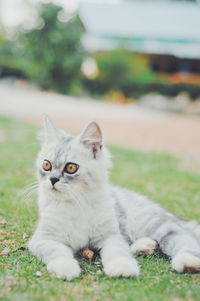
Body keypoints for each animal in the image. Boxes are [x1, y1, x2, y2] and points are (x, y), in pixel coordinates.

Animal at [27, 116, 200, 278]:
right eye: (46, 165)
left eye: (71, 168)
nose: (52, 180)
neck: (77, 203)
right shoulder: (43, 239)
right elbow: (58, 252)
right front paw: (66, 268)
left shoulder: (110, 236)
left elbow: (117, 252)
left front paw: (122, 268)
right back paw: (145, 246)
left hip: (156, 226)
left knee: (186, 240)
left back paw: (187, 263)